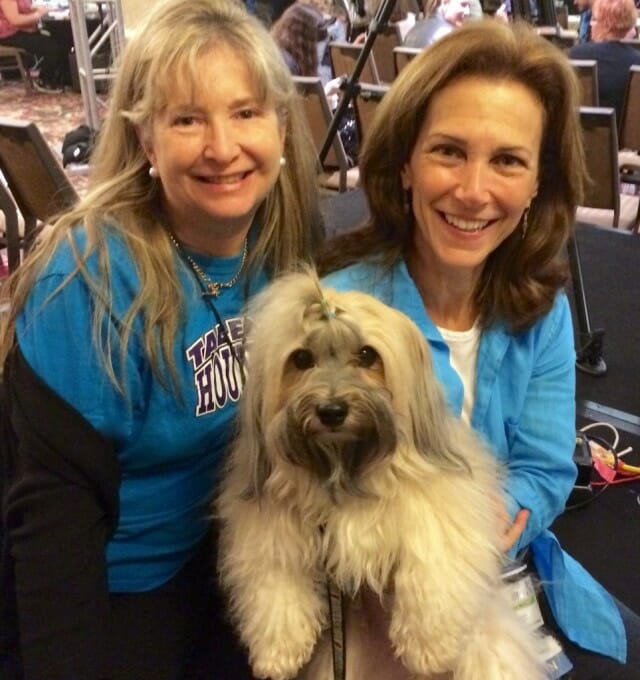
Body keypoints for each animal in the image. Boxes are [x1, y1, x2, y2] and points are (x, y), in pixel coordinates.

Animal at [216, 270, 544, 680]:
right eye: (302, 358)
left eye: (367, 355)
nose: (332, 411)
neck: (346, 468)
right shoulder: (270, 530)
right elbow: (274, 584)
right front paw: (279, 648)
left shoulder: (443, 512)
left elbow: (433, 562)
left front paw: (428, 646)